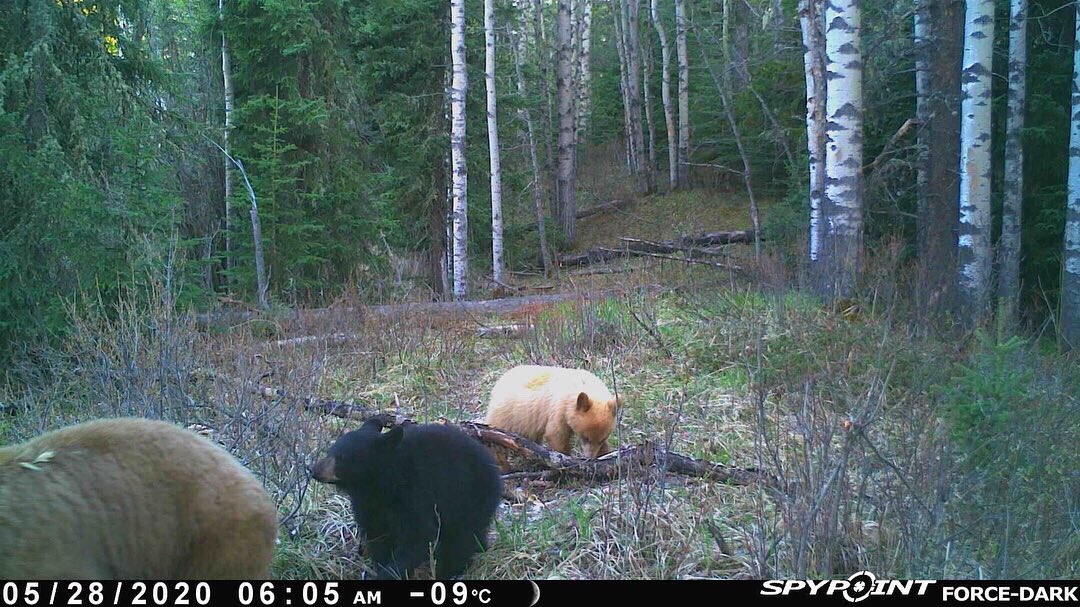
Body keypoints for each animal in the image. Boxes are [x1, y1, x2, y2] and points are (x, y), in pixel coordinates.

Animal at [309, 417, 502, 580]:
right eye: (330, 451)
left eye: (343, 458)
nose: (314, 470)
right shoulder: (368, 504)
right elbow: (377, 534)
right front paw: (381, 565)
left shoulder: (415, 495)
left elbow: (418, 535)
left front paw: (390, 573)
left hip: (468, 497)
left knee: (461, 538)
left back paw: (452, 570)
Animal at [485, 365, 621, 459]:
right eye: (585, 438)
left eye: (602, 439)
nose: (590, 457)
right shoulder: (558, 409)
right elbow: (556, 434)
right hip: (505, 416)